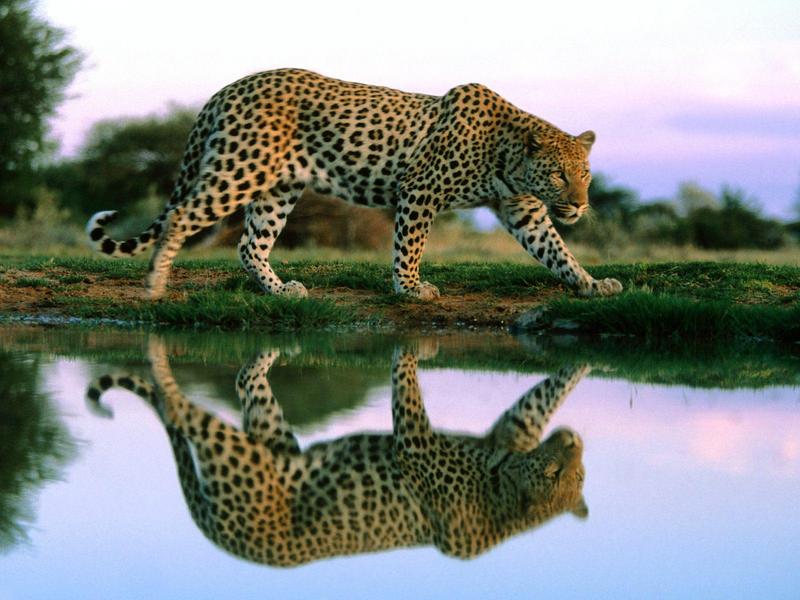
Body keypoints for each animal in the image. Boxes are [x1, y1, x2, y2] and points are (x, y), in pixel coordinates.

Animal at [86, 68, 624, 300]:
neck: (507, 155)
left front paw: (591, 283)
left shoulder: (523, 210)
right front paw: (410, 288)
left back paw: (279, 290)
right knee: (180, 216)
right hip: (239, 170)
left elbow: (556, 250)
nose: (580, 205)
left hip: (277, 189)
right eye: (558, 174)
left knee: (249, 243)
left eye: (585, 175)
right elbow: (410, 245)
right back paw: (154, 284)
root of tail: (228, 88)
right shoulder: (420, 190)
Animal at [86, 338, 588, 568]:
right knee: (179, 408)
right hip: (240, 456)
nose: (575, 441)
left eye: (577, 475)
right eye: (555, 472)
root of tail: (225, 540)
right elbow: (406, 388)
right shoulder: (418, 443)